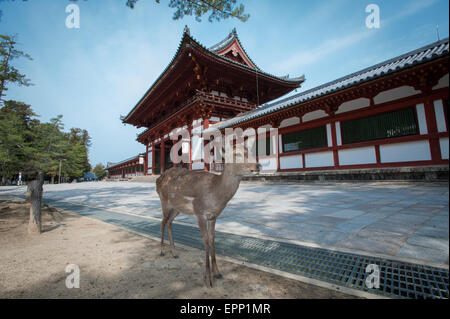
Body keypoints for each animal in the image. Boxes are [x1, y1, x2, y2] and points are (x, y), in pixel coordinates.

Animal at [156, 146, 260, 288]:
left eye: (251, 151)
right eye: (236, 154)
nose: (258, 165)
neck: (215, 194)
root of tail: (157, 179)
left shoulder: (213, 216)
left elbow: (212, 239)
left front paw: (218, 273)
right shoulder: (200, 213)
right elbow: (205, 240)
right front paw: (208, 279)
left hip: (176, 208)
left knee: (169, 222)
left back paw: (175, 253)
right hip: (164, 201)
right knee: (162, 221)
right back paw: (161, 251)